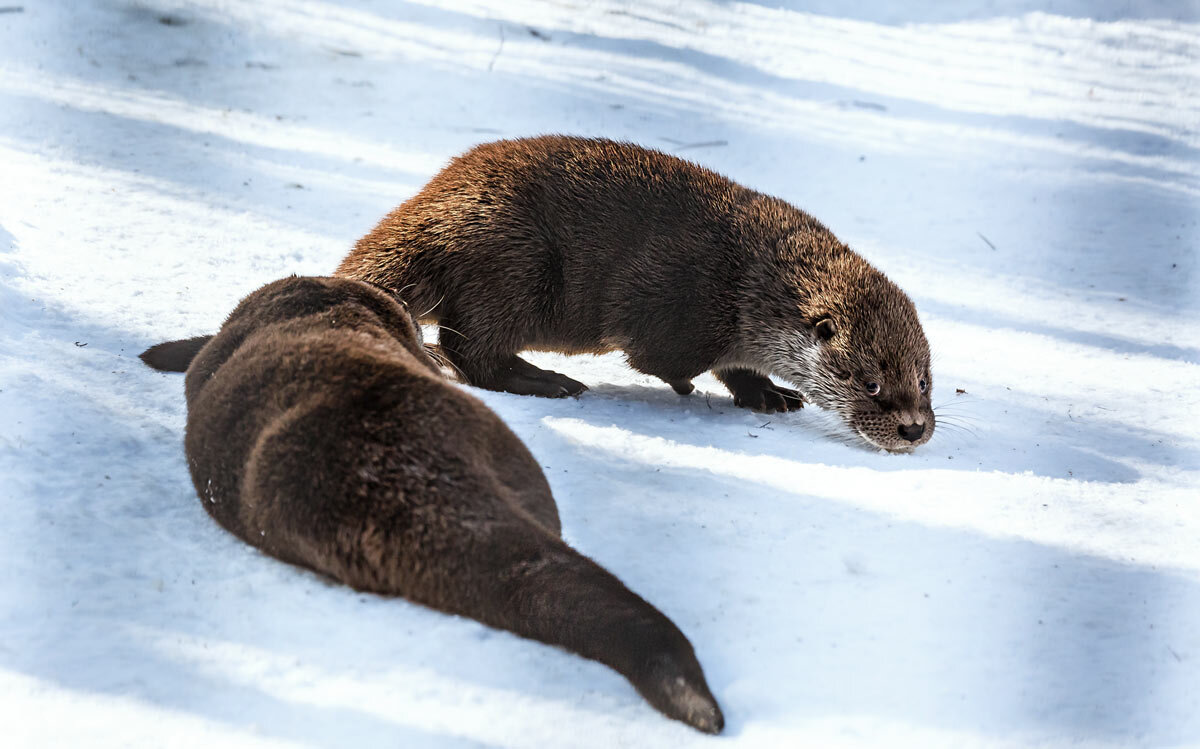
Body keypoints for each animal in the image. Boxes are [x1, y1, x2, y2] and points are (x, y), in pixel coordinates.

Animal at [338, 134, 936, 451]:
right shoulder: (683, 308)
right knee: (469, 349)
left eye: (924, 382)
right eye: (872, 383)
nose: (913, 428)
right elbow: (660, 360)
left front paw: (769, 393)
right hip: (515, 266)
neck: (752, 286)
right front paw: (686, 386)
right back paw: (550, 381)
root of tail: (432, 211)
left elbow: (736, 368)